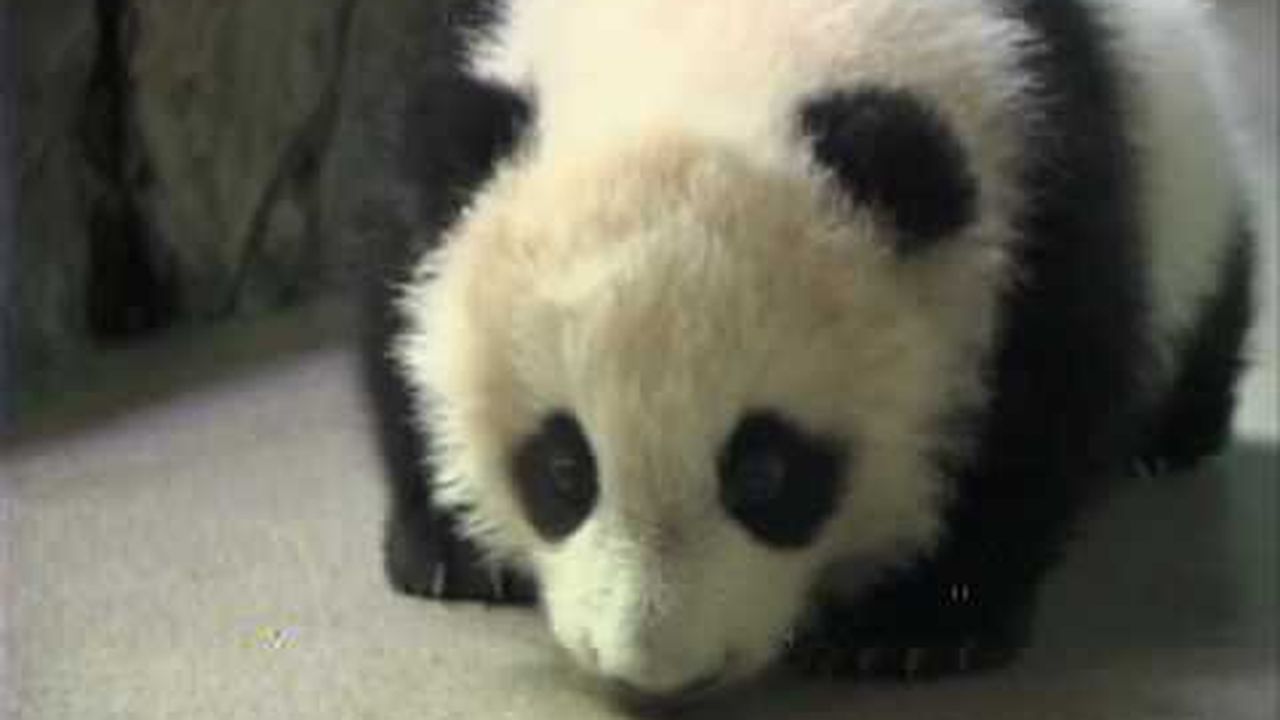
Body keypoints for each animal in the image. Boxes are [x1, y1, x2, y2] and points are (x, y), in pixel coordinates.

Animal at [359, 0, 1256, 706]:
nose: (657, 673)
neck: (708, 41)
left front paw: (918, 624)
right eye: (563, 469)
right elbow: (403, 302)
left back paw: (1170, 439)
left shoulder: (1041, 166)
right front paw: (452, 549)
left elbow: (1042, 395)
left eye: (766, 472)